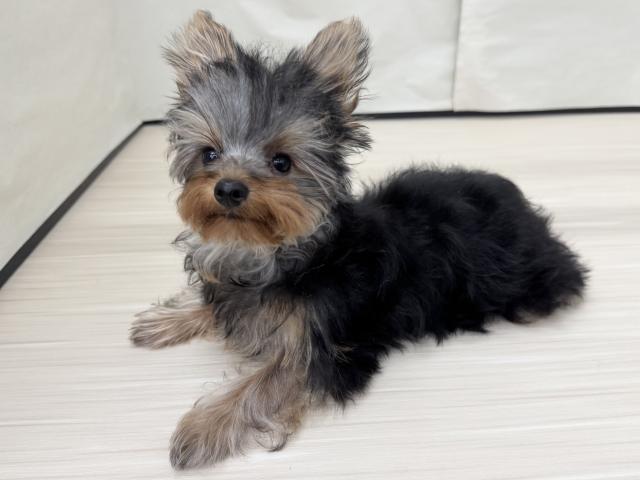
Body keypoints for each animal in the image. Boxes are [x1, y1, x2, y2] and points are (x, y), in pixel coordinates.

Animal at [130, 11, 587, 469]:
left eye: (282, 162)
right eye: (209, 154)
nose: (228, 189)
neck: (278, 251)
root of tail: (523, 206)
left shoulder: (329, 350)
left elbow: (267, 382)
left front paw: (200, 428)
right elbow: (216, 302)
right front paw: (167, 319)